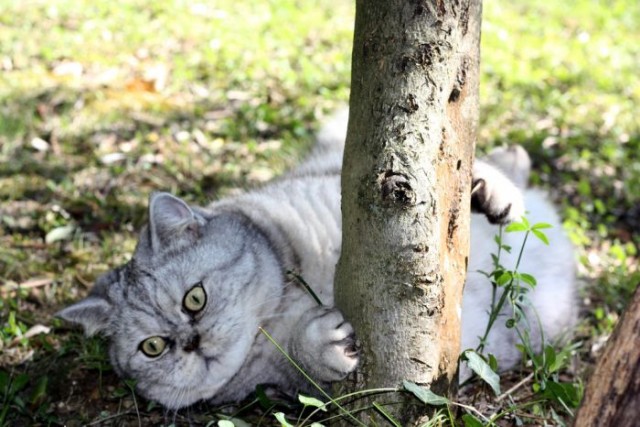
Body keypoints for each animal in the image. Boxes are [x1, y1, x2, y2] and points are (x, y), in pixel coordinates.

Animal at [55, 110, 576, 412]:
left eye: (194, 299)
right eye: (153, 348)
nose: (191, 341)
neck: (284, 301)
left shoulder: (350, 178)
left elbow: (449, 171)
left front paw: (491, 192)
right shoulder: (282, 382)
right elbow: (305, 362)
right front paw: (319, 345)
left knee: (497, 159)